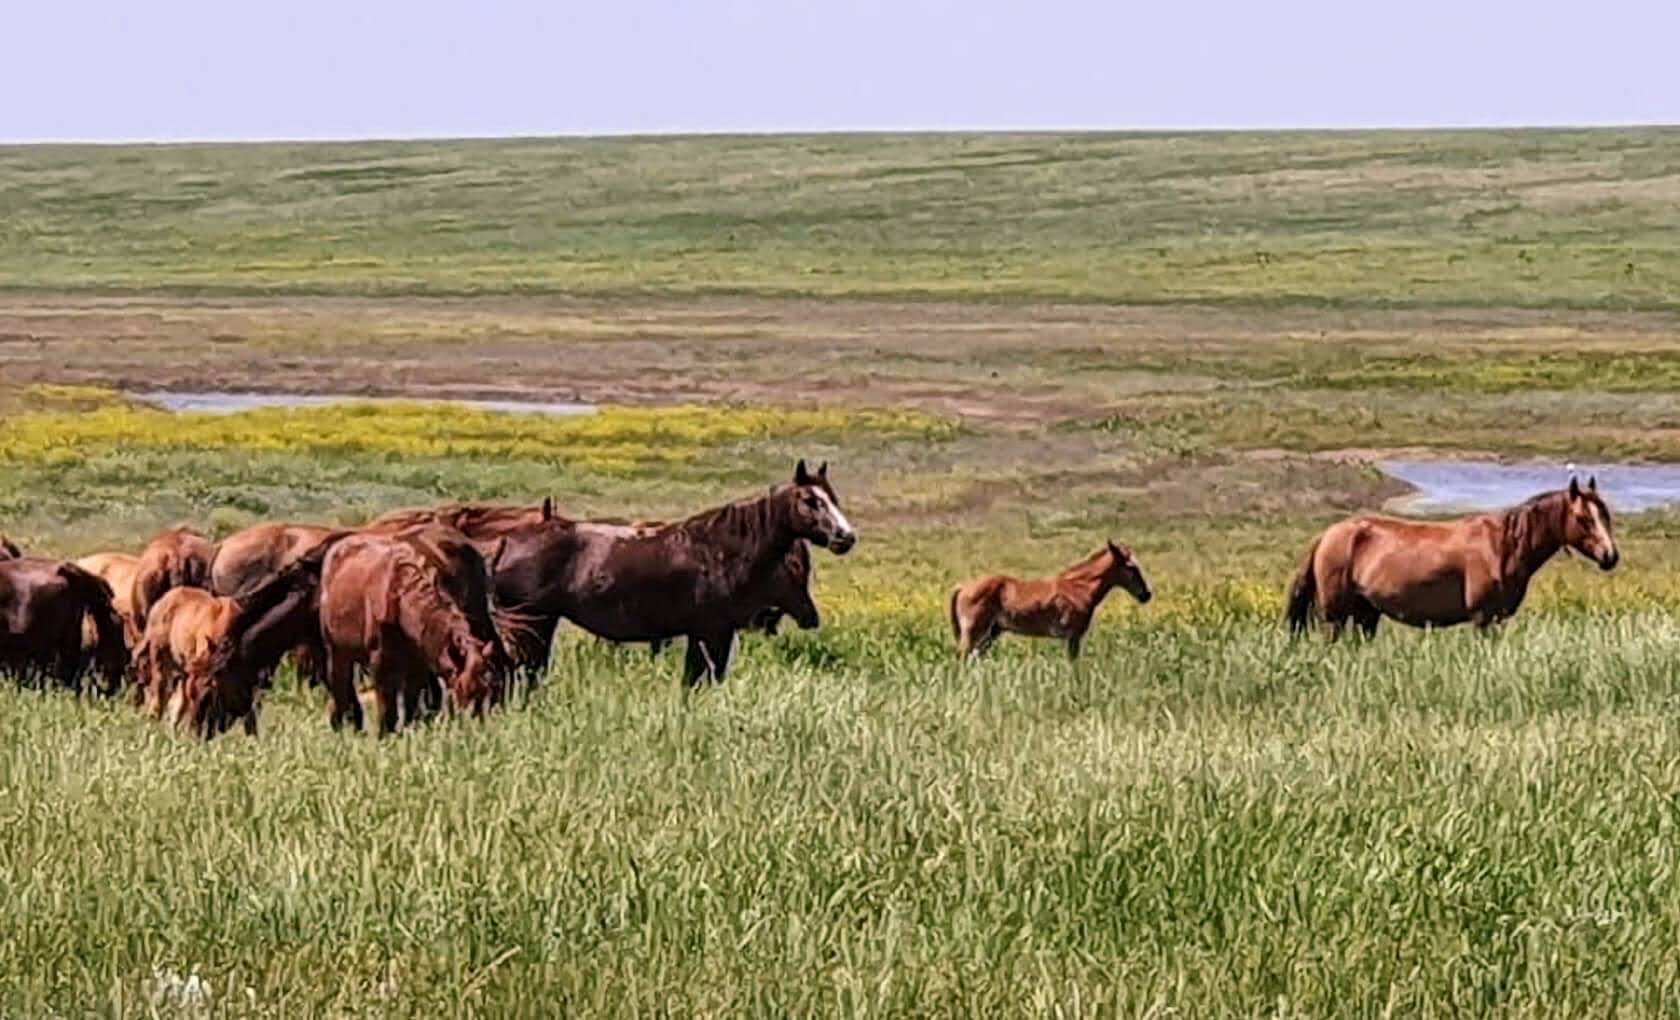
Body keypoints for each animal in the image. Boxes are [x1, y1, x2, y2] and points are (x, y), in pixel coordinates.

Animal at [317, 527, 507, 732]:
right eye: (463, 689)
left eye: (491, 686)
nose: (477, 726)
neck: (399, 598)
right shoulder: (381, 666)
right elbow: (387, 709)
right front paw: (385, 734)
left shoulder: (418, 665)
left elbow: (411, 704)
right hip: (336, 651)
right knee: (340, 685)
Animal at [487, 460, 853, 685]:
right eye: (810, 500)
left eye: (832, 498)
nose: (845, 537)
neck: (722, 551)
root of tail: (506, 542)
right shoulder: (711, 633)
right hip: (531, 625)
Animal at [954, 544, 1149, 662]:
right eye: (1131, 567)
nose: (1146, 594)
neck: (1078, 588)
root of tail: (963, 587)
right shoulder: (1073, 635)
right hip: (973, 631)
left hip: (991, 633)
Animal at [1283, 473, 1612, 635]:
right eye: (1584, 518)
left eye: (1605, 515)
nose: (1611, 556)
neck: (1502, 546)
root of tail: (1326, 536)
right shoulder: (1483, 619)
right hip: (1335, 617)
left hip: (1367, 614)